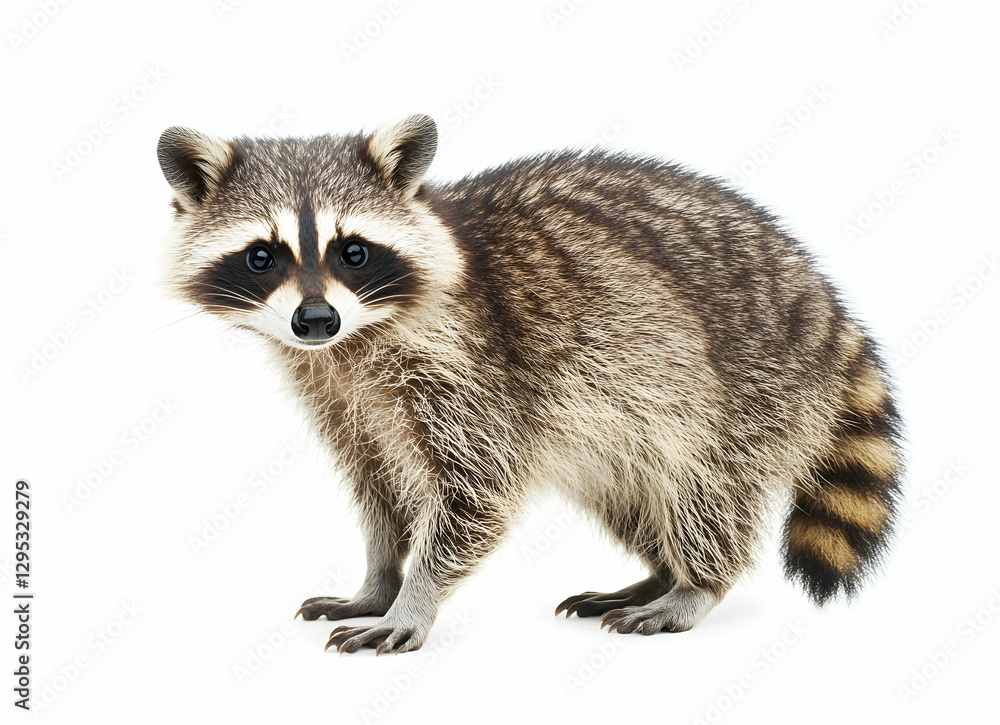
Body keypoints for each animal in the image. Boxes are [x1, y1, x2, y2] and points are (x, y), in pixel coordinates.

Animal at [156, 114, 903, 655]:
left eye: (354, 251)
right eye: (262, 256)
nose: (316, 320)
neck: (356, 339)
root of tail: (821, 300)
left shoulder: (475, 367)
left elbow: (475, 490)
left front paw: (416, 597)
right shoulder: (341, 397)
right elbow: (379, 491)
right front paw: (379, 577)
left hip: (745, 385)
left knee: (705, 489)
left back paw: (695, 583)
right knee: (637, 491)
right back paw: (657, 573)